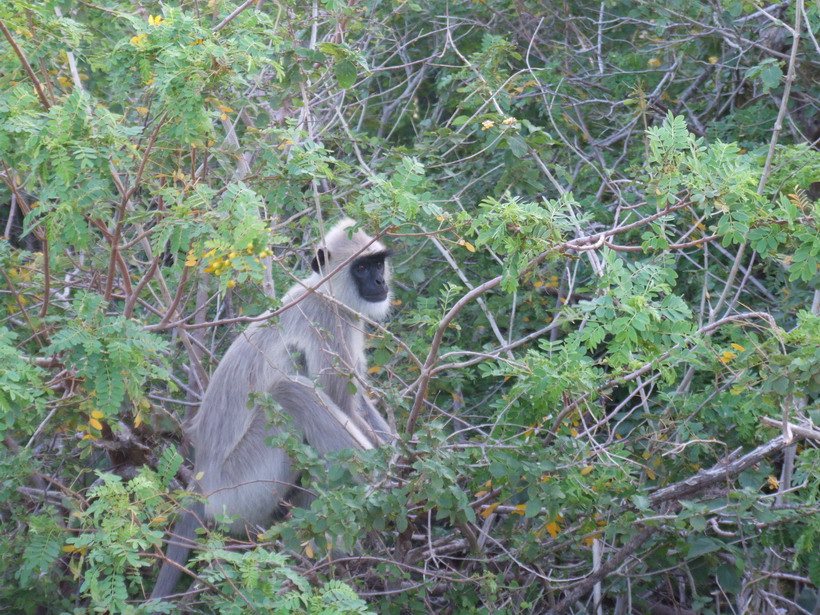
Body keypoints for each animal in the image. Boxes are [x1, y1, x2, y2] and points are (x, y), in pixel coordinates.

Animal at [154, 220, 398, 600]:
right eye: (360, 268)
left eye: (377, 264)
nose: (379, 283)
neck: (322, 292)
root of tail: (201, 481)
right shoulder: (329, 324)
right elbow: (343, 401)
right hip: (241, 490)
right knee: (292, 392)